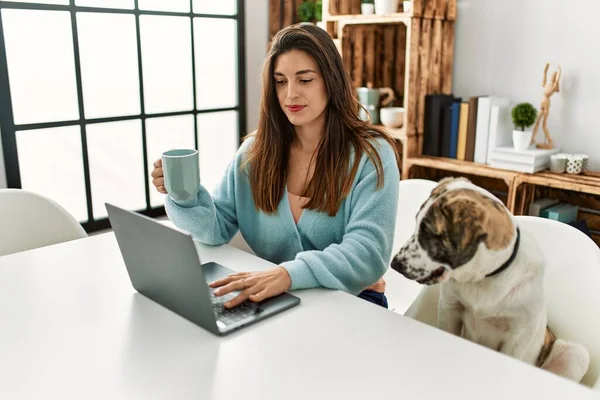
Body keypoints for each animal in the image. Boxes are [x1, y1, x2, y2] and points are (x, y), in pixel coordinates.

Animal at [392, 177, 588, 382]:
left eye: (428, 233)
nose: (395, 264)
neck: (482, 279)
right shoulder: (450, 309)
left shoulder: (518, 334)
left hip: (576, 353)